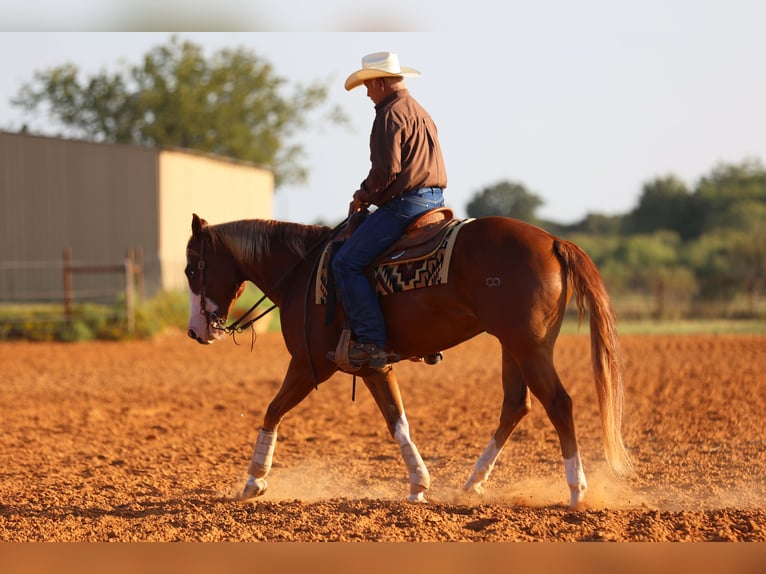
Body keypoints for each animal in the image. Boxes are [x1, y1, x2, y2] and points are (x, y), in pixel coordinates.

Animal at [184, 212, 633, 508]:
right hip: (513, 346)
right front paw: (419, 484)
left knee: (558, 403)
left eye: (192, 268)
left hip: (528, 346)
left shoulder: (310, 365)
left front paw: (253, 480)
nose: (195, 331)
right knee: (515, 406)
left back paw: (576, 491)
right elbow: (396, 420)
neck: (302, 272)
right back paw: (473, 484)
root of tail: (554, 241)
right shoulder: (372, 365)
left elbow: (273, 410)